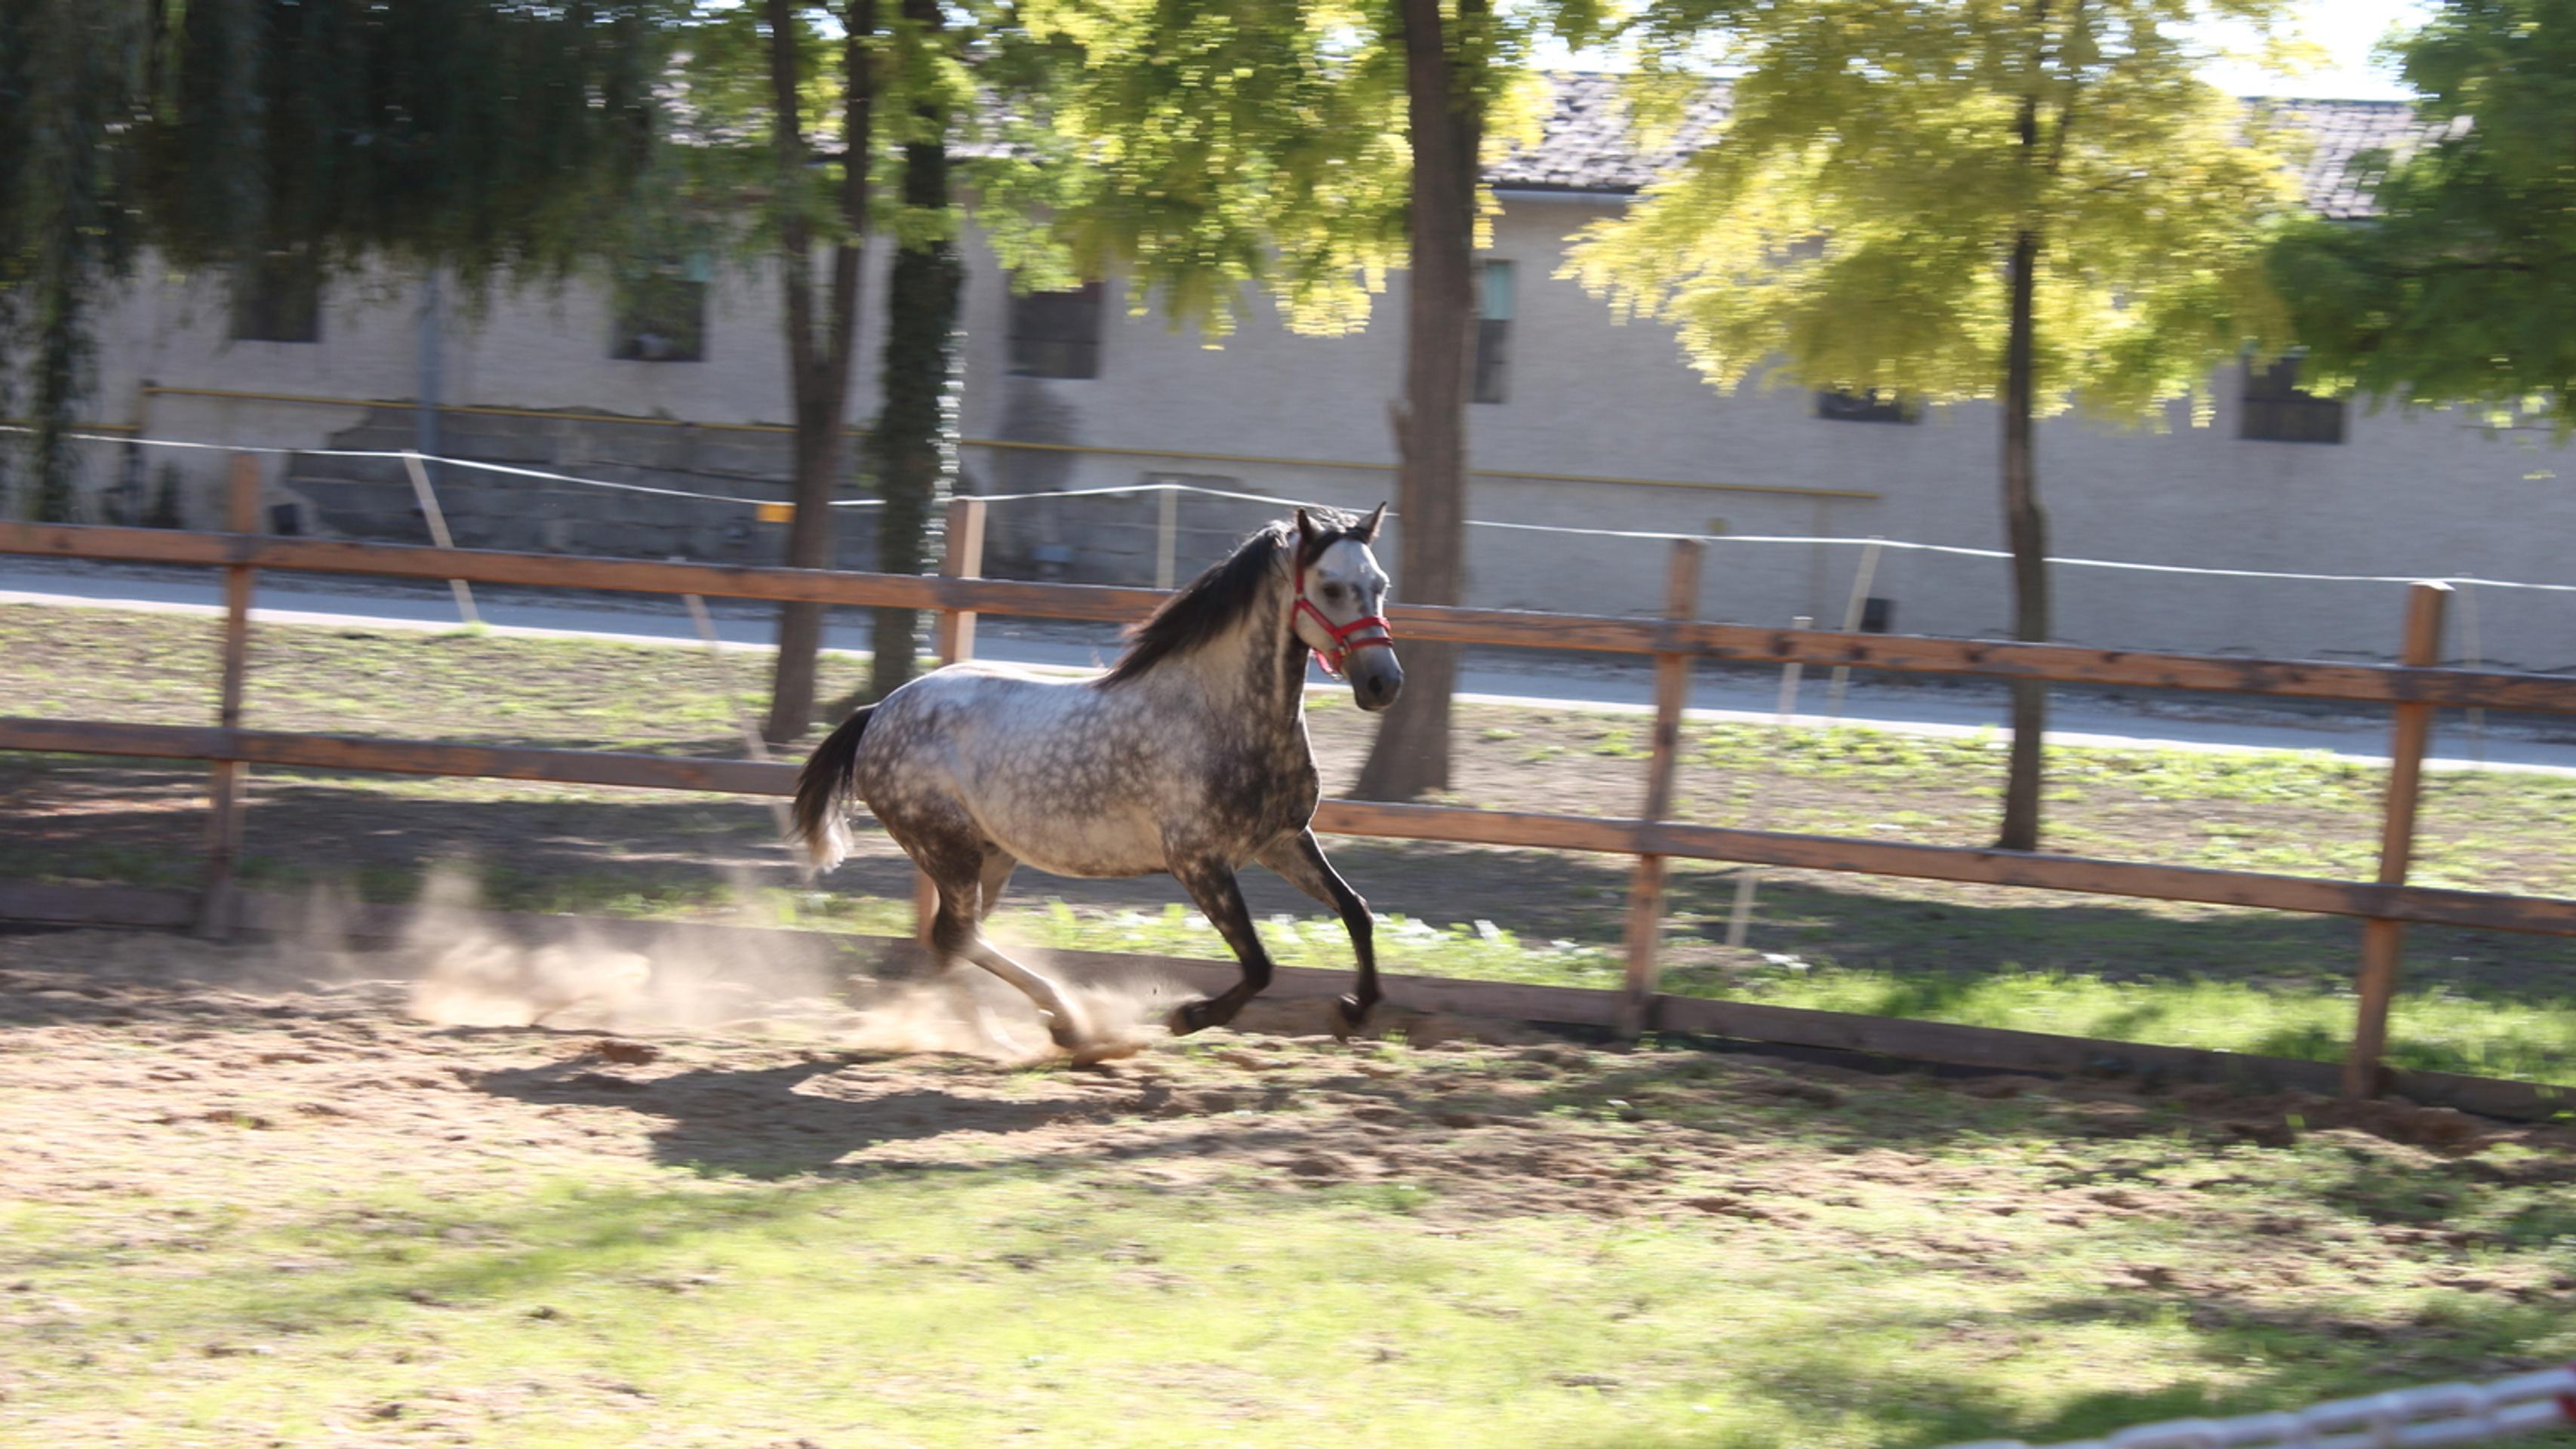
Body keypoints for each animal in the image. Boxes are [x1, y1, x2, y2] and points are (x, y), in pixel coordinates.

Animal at [789, 504, 1404, 1055]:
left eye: (1379, 584)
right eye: (1330, 587)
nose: (1383, 683)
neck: (1218, 714)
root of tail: (878, 712)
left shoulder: (1282, 841)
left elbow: (1357, 912)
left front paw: (1353, 1011)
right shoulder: (1199, 862)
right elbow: (1259, 966)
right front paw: (1186, 1016)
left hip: (990, 856)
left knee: (952, 941)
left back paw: (1016, 1034)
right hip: (947, 850)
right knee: (958, 937)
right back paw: (1057, 1027)